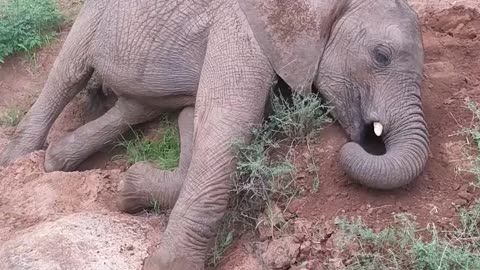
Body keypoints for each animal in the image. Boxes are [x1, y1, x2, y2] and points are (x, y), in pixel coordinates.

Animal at [0, 0, 428, 268]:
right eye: (381, 56)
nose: (357, 146)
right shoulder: (241, 29)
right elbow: (225, 122)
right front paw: (167, 267)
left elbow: (202, 125)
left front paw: (130, 188)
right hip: (94, 13)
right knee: (68, 72)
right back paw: (19, 161)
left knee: (139, 105)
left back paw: (58, 159)